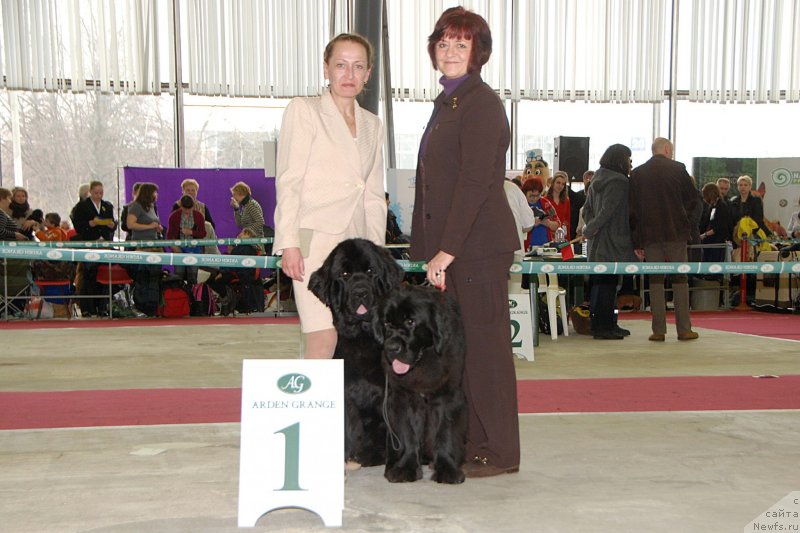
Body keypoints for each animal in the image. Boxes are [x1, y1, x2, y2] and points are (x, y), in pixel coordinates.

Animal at [376, 284, 468, 484]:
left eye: (411, 322)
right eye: (386, 324)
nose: (391, 347)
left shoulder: (446, 395)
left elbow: (444, 432)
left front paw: (447, 470)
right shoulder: (404, 397)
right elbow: (408, 432)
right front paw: (405, 468)